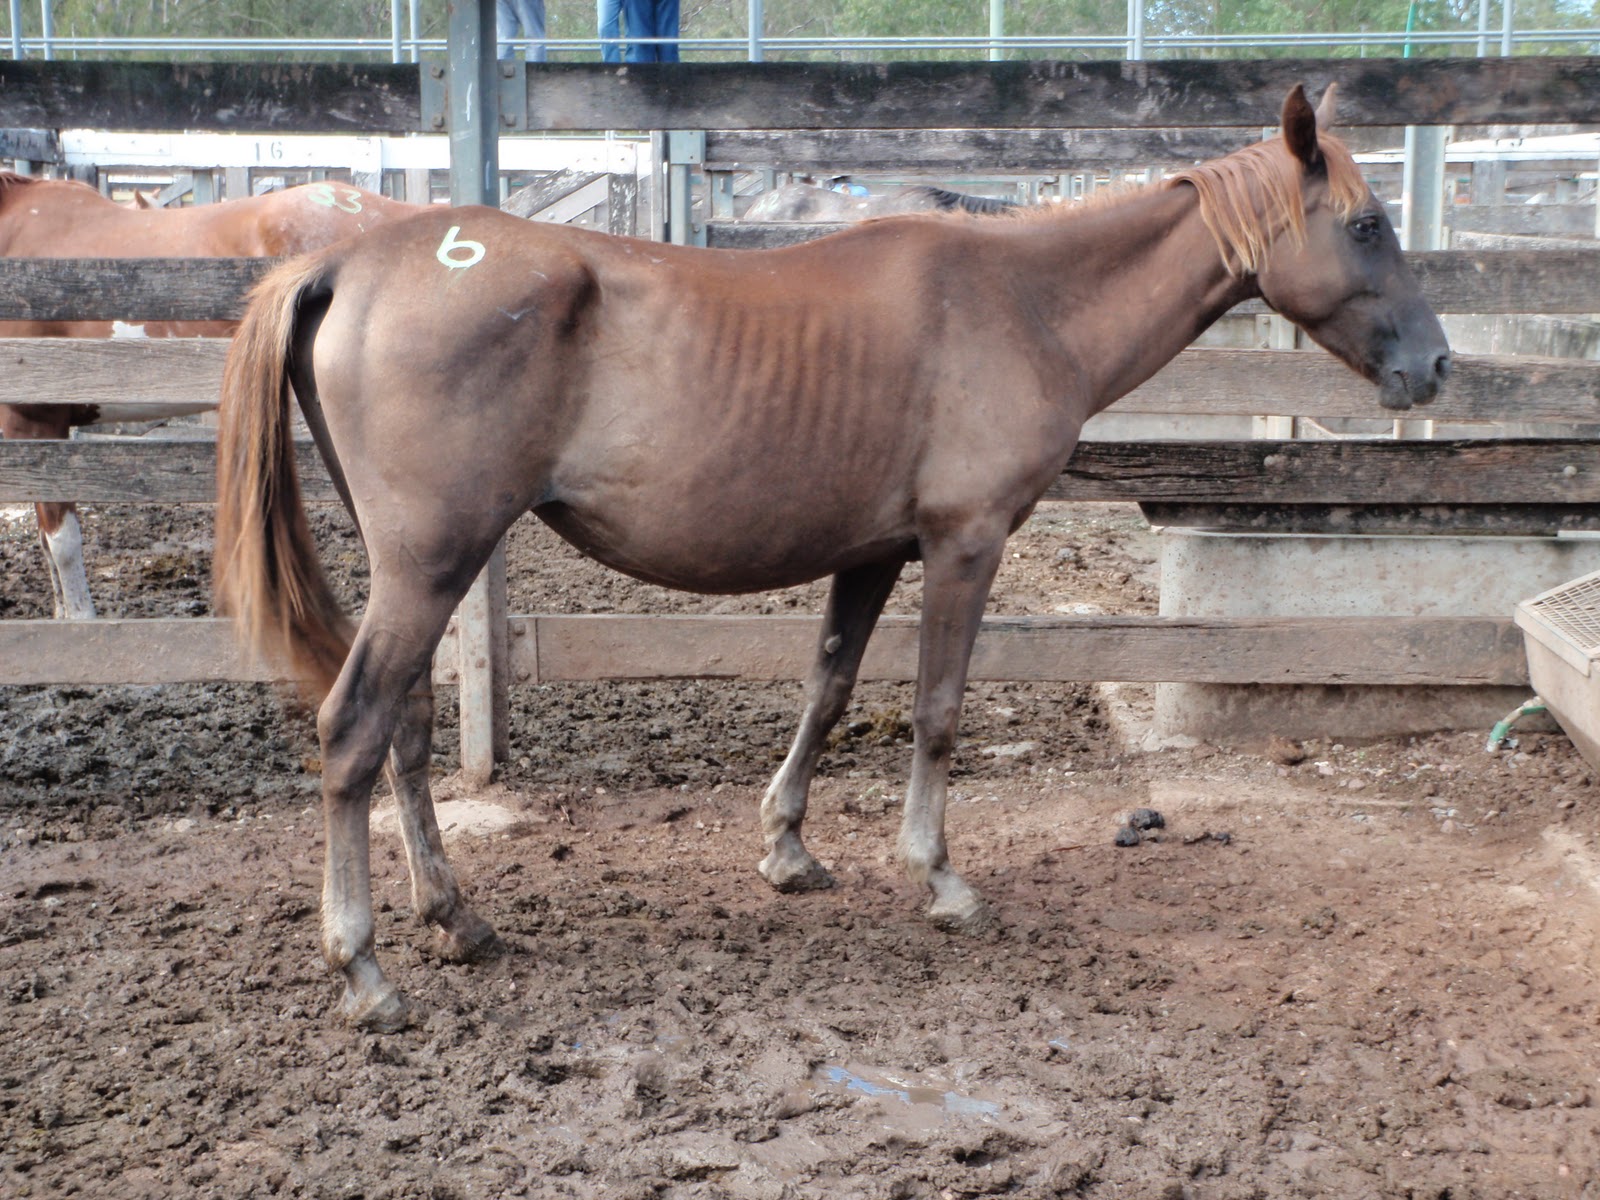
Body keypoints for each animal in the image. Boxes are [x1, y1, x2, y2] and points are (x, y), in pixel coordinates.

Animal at [213, 84, 1450, 1031]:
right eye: (1367, 225)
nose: (1435, 367)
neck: (1023, 300)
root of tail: (348, 263)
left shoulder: (873, 554)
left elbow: (830, 688)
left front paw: (788, 849)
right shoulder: (963, 544)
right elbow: (938, 709)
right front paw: (938, 876)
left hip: (428, 568)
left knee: (406, 730)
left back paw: (456, 918)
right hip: (431, 565)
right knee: (353, 729)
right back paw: (365, 968)